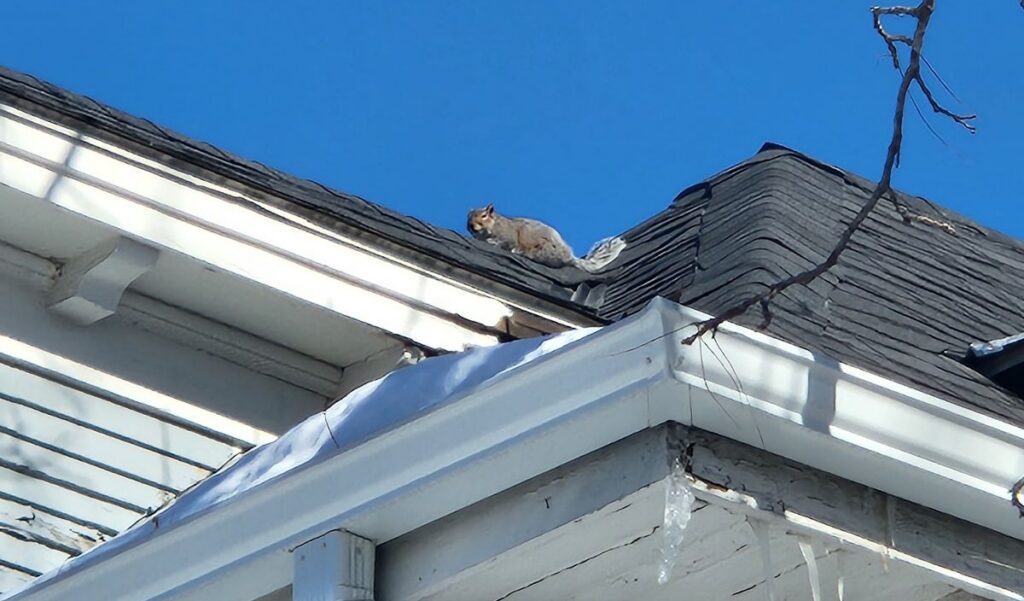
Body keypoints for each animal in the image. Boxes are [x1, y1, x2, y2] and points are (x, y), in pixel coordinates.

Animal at [466, 203, 626, 272]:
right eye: (468, 216)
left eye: (484, 216)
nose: (471, 226)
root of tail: (569, 257)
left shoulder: (507, 235)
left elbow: (504, 242)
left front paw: (492, 241)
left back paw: (521, 251)